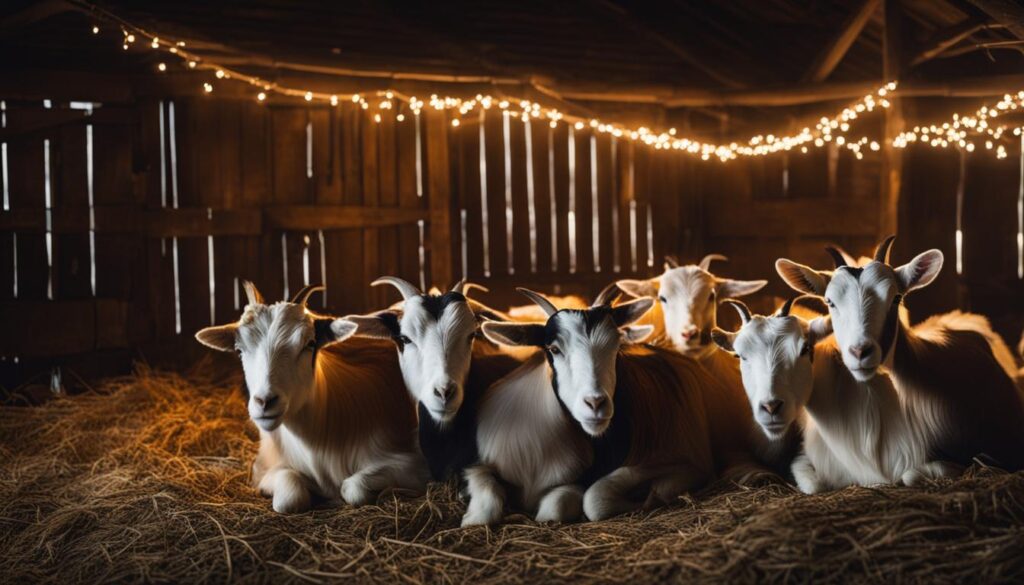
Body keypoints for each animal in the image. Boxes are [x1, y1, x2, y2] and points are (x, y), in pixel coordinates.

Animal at [195, 283, 427, 513]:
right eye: (239, 350)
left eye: (310, 343)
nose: (264, 402)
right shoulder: (263, 469)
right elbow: (289, 496)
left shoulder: (412, 462)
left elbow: (354, 488)